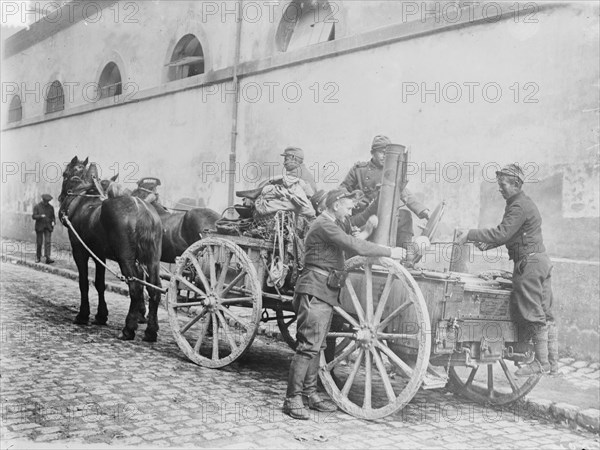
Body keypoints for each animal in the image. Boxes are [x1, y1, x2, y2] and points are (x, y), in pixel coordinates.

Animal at [59, 157, 164, 342]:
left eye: (65, 174)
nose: (60, 198)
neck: (83, 199)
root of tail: (143, 211)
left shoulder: (80, 251)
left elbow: (84, 282)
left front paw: (83, 315)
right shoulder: (99, 254)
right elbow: (100, 284)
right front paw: (101, 315)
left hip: (126, 259)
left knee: (135, 288)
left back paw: (128, 329)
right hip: (152, 260)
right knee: (154, 289)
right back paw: (151, 331)